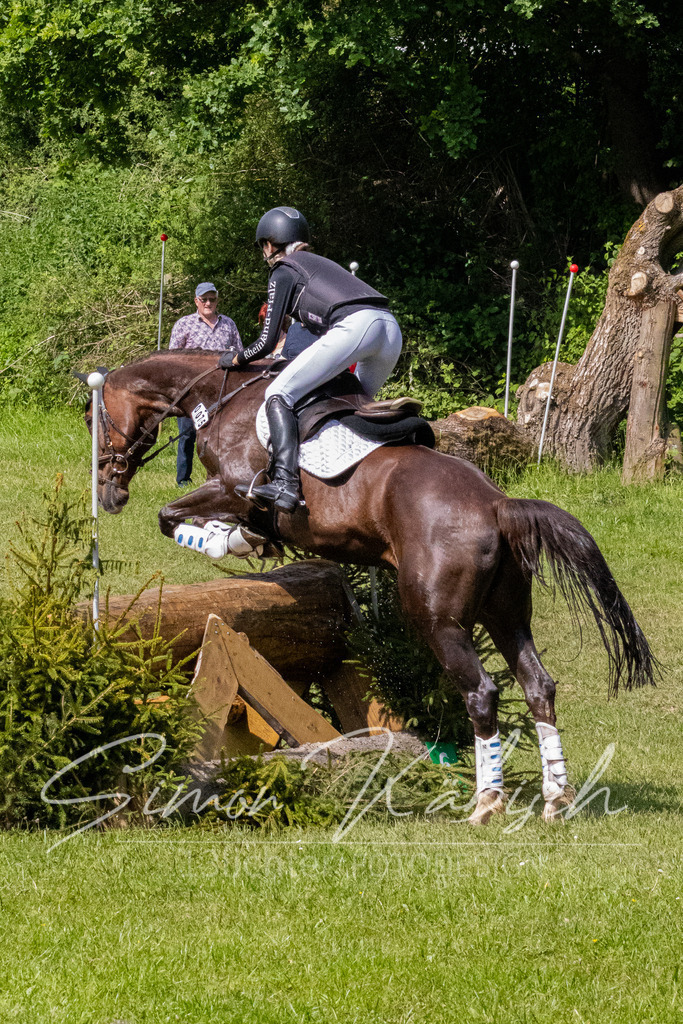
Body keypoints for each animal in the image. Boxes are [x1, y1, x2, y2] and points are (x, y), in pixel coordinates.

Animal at [86, 349, 657, 824]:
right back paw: (555, 798)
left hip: (439, 620)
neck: (221, 395)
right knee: (539, 686)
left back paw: (485, 802)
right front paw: (248, 541)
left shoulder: (232, 487)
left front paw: (230, 540)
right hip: (507, 614)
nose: (108, 494)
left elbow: (170, 516)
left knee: (481, 693)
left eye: (96, 421)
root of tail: (496, 503)